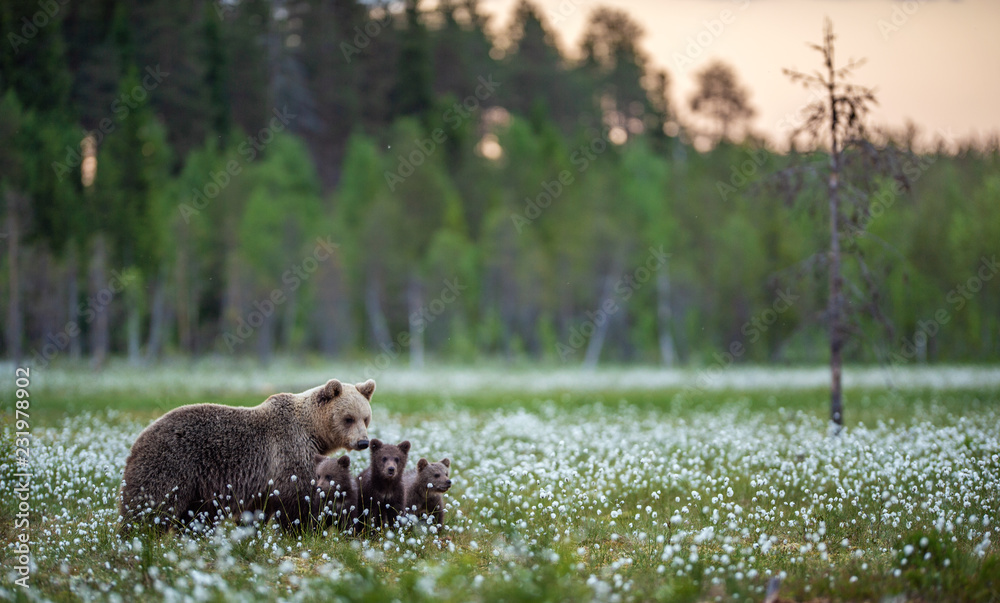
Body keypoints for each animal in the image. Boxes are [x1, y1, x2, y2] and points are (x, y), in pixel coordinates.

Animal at [119, 378, 375, 533]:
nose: (363, 442)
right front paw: (302, 528)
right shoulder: (288, 452)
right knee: (151, 503)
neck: (312, 431)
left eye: (365, 418)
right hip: (172, 464)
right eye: (348, 418)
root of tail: (139, 437)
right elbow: (296, 498)